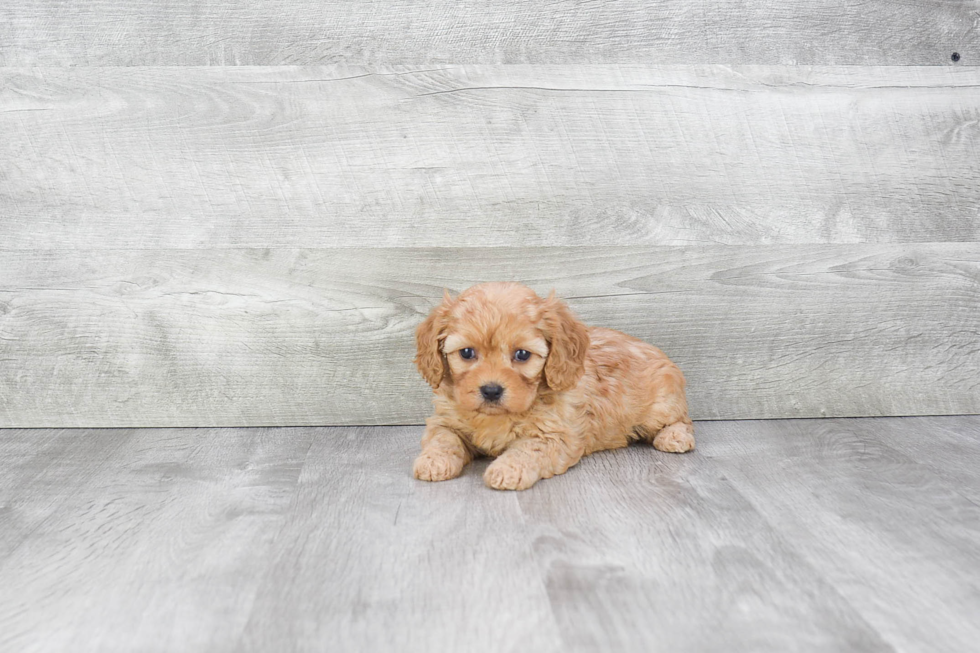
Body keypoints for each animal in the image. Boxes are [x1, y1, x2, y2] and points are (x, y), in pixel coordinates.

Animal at [414, 282, 696, 488]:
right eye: (467, 353)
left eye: (522, 355)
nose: (491, 390)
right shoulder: (444, 421)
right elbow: (442, 439)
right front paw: (432, 462)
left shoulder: (554, 435)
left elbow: (528, 449)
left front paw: (507, 469)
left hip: (662, 404)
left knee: (683, 420)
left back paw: (674, 437)